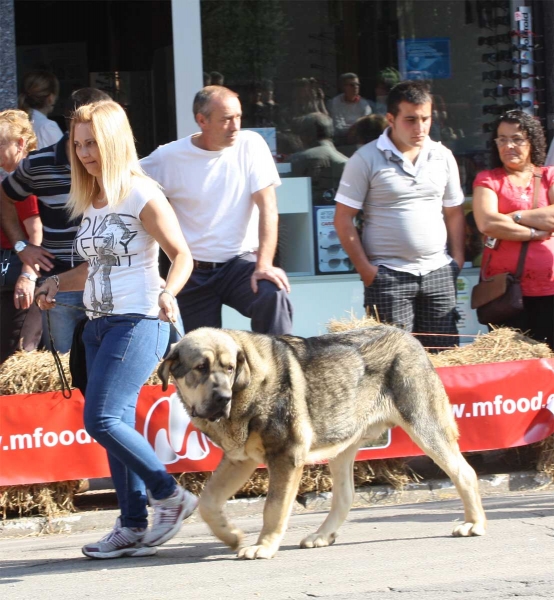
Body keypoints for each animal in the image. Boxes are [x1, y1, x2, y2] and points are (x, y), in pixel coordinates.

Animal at [156, 326, 484, 560]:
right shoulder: (240, 460)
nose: (223, 398)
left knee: (464, 473)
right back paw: (322, 535)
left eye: (229, 368)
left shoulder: (286, 456)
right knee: (345, 497)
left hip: (424, 426)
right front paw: (231, 535)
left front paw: (264, 546)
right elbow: (208, 502)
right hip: (343, 447)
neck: (247, 386)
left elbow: (273, 508)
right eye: (200, 367)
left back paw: (474, 524)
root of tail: (411, 338)